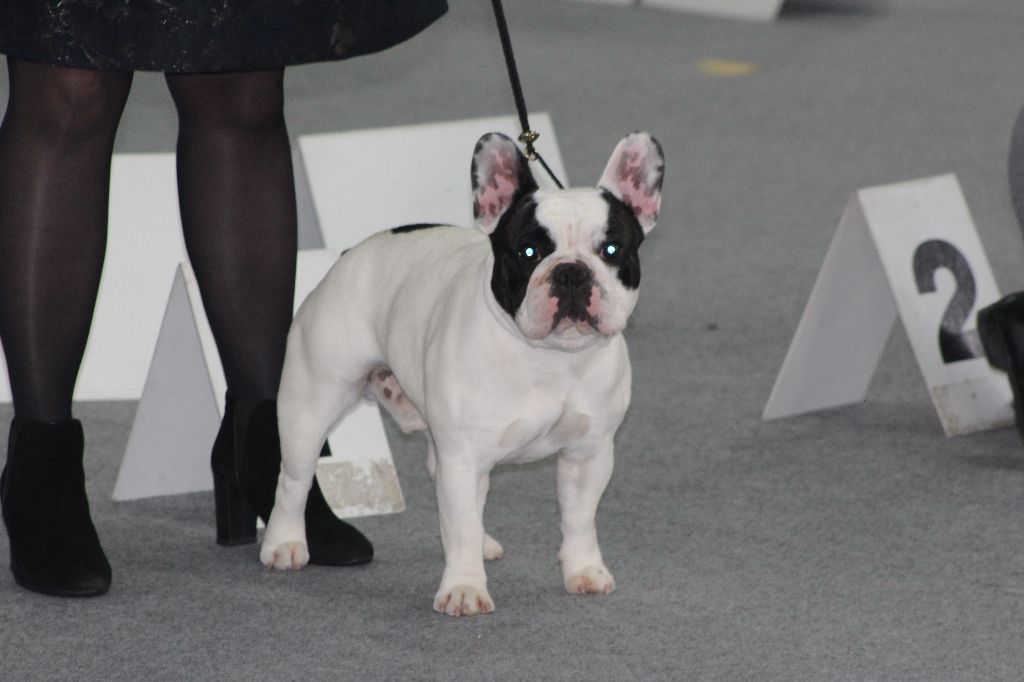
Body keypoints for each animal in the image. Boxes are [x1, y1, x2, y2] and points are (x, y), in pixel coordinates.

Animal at [259, 131, 664, 616]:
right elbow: (463, 523)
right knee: (294, 479)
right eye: (529, 252)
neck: (550, 357)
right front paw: (465, 588)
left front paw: (583, 570)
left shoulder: (589, 454)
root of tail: (350, 255)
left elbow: (579, 518)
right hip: (312, 404)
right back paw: (284, 543)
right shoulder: (465, 454)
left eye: (611, 250)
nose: (571, 273)